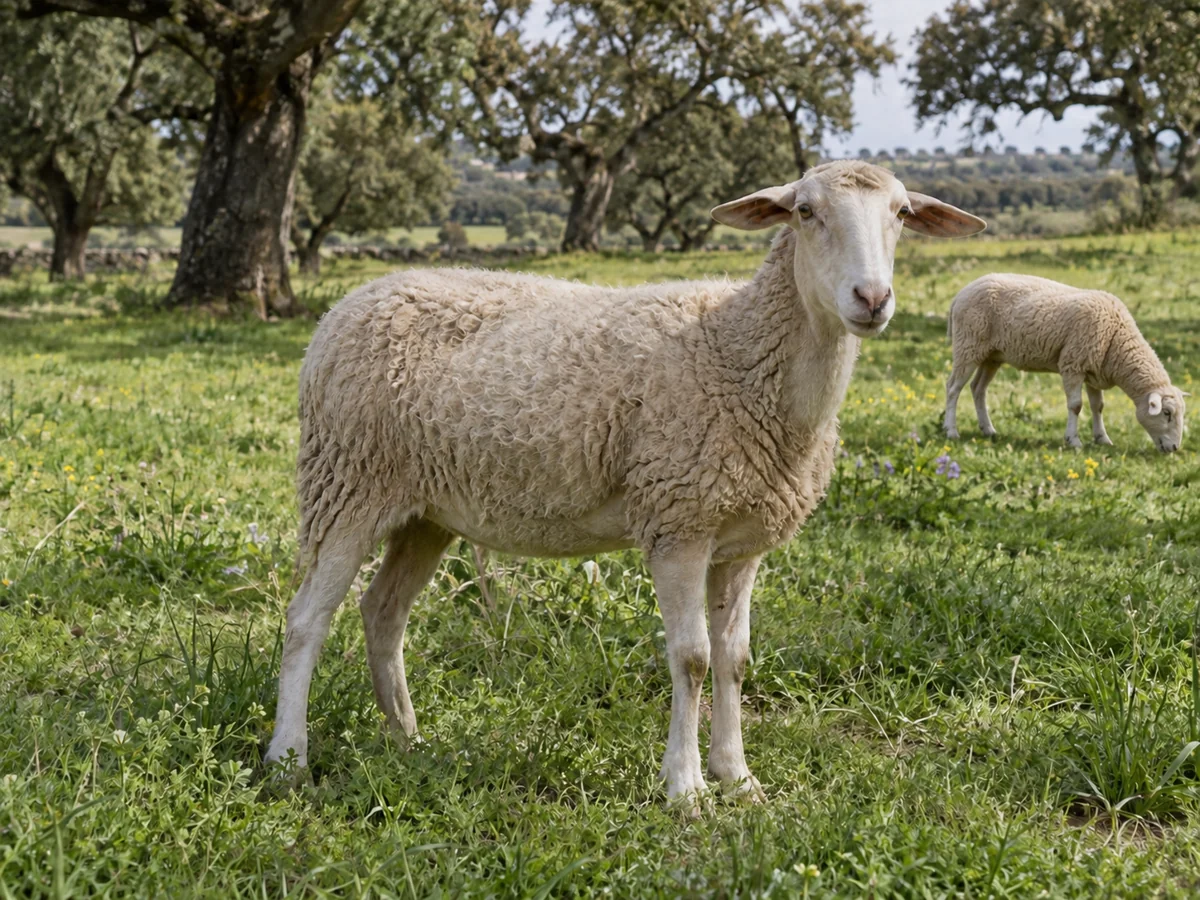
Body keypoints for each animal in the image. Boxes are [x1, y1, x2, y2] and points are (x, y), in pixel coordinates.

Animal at [264, 160, 987, 811]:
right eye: (805, 211)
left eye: (901, 214)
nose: (872, 300)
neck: (736, 348)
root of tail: (346, 306)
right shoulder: (678, 522)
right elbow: (692, 658)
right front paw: (685, 789)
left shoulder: (742, 541)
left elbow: (736, 659)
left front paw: (738, 777)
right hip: (348, 482)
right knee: (306, 619)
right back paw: (288, 759)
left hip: (425, 511)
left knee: (383, 614)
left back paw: (407, 739)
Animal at [944, 274, 1185, 452]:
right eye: (1166, 413)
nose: (1174, 448)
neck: (1116, 338)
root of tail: (960, 294)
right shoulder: (1073, 364)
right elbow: (1076, 406)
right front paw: (1073, 440)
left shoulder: (1094, 372)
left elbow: (1098, 407)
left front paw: (1102, 438)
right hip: (968, 345)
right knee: (953, 388)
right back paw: (951, 430)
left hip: (991, 356)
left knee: (978, 389)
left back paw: (988, 429)